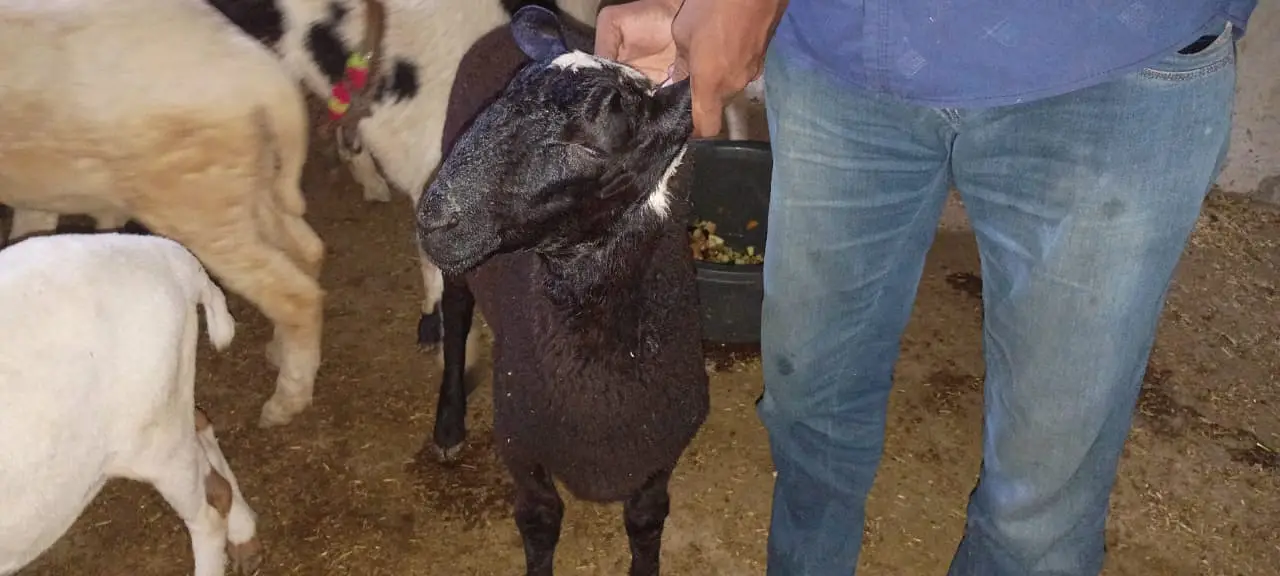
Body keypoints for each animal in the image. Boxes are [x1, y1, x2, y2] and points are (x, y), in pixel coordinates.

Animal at [0, 0, 327, 428]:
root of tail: (269, 81)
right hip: (250, 185)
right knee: (307, 252)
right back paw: (279, 351)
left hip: (201, 201)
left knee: (296, 294)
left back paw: (285, 402)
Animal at [0, 233, 260, 576]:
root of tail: (171, 255)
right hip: (165, 411)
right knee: (203, 429)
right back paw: (244, 532)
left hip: (159, 440)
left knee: (208, 518)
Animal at [416, 7, 709, 575]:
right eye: (499, 103)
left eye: (589, 146)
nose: (433, 219)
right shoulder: (520, 441)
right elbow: (540, 521)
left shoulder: (662, 448)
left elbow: (647, 520)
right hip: (462, 268)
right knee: (456, 315)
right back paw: (448, 428)